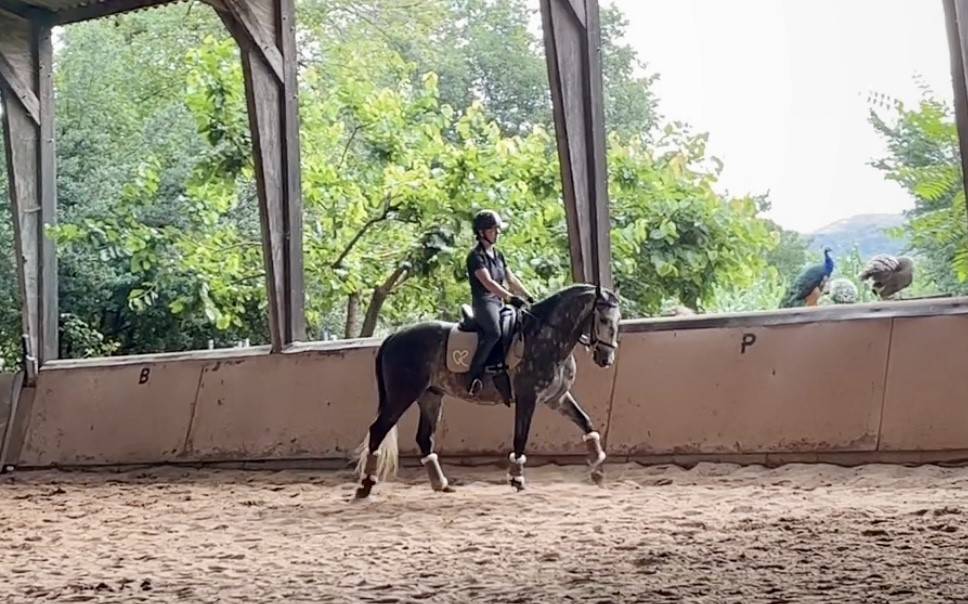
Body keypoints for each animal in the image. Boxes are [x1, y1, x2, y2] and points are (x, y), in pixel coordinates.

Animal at [353, 283, 621, 499]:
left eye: (618, 321)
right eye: (603, 320)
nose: (606, 358)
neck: (546, 336)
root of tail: (393, 337)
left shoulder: (557, 398)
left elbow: (586, 423)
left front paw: (597, 469)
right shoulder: (527, 397)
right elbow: (521, 437)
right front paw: (516, 479)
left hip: (430, 396)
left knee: (424, 438)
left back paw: (441, 484)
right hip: (402, 395)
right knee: (378, 430)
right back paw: (365, 485)